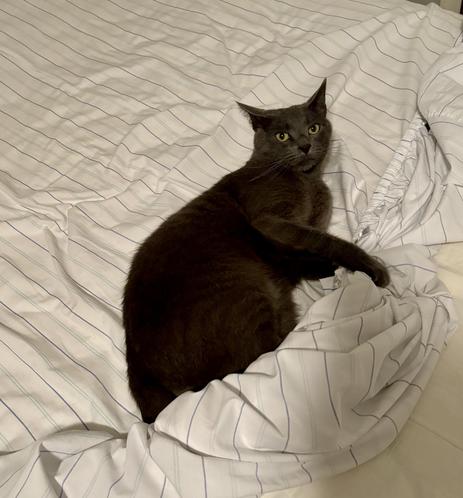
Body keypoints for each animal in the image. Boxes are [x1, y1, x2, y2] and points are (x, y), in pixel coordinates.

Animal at [121, 80, 390, 424]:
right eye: (282, 135)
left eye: (314, 127)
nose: (305, 145)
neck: (308, 181)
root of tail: (138, 366)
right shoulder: (270, 221)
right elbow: (327, 241)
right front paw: (371, 267)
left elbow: (305, 250)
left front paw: (325, 267)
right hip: (243, 288)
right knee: (264, 355)